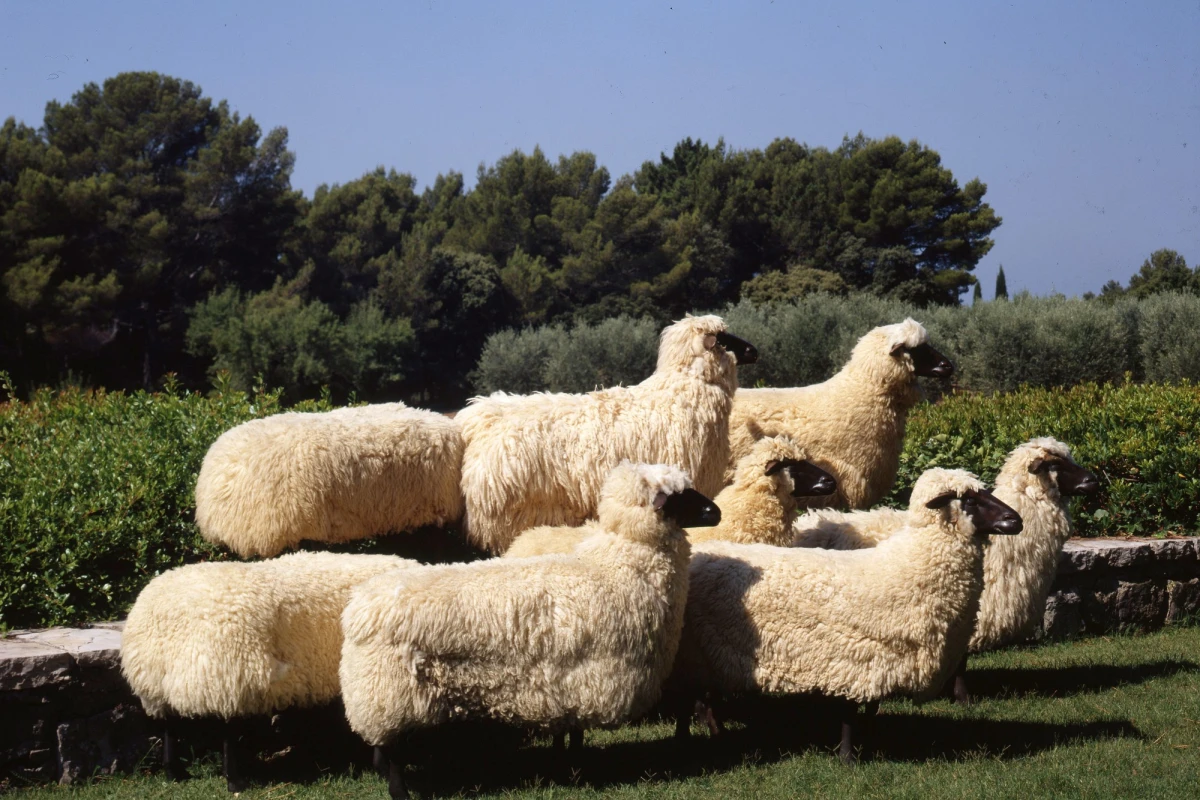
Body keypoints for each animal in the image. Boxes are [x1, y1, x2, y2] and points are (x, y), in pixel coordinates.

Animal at [121, 551, 418, 792]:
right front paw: (384, 767)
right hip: (230, 671)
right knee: (226, 729)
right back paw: (234, 780)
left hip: (159, 678)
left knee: (169, 724)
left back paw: (174, 771)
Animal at [339, 462, 719, 799]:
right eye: (680, 496)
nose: (714, 512)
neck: (620, 566)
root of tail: (358, 608)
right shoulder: (589, 677)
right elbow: (576, 733)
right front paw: (575, 769)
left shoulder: (567, 683)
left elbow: (567, 731)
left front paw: (564, 765)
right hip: (391, 693)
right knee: (394, 754)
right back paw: (399, 791)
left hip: (382, 695)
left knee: (382, 747)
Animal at [671, 468, 1021, 763]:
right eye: (969, 499)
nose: (1015, 520)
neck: (909, 562)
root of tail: (699, 556)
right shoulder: (854, 662)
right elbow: (850, 716)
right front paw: (847, 758)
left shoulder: (875, 663)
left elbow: (870, 709)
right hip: (695, 652)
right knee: (690, 701)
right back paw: (693, 740)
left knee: (701, 699)